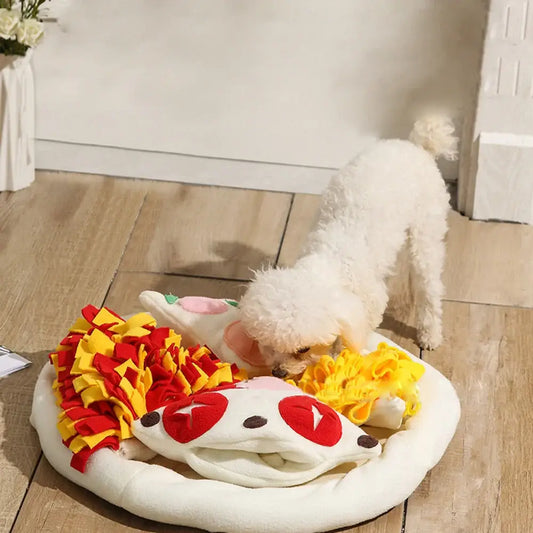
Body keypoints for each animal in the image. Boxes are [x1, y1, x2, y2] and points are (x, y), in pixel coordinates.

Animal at [239, 116, 456, 376]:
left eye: (303, 349)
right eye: (270, 344)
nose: (278, 373)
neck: (331, 260)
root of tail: (418, 147)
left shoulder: (368, 305)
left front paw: (338, 356)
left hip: (426, 231)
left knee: (429, 285)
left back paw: (430, 333)